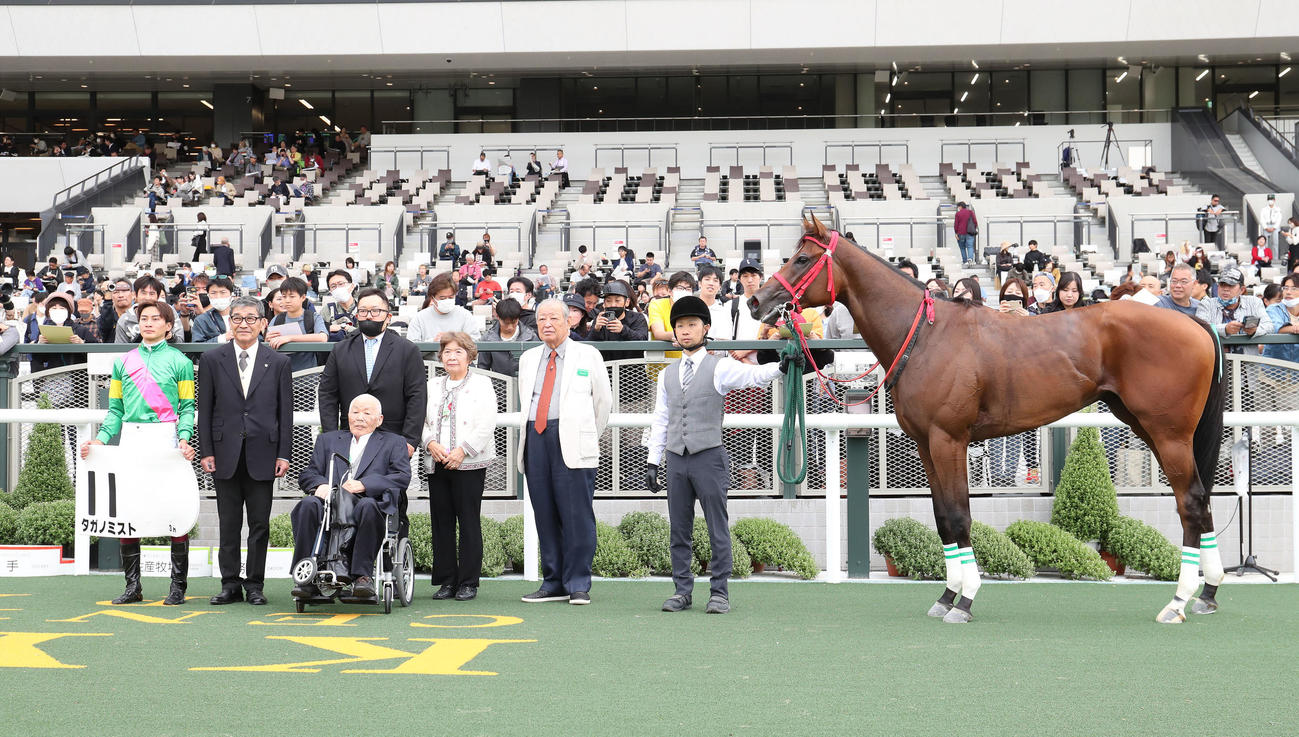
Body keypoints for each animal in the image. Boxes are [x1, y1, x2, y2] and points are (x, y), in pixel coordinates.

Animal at [750, 215, 1226, 624]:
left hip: (1169, 435)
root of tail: (1195, 325)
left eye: (803, 259)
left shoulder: (949, 440)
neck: (927, 336)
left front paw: (965, 600)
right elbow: (943, 517)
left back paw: (1179, 601)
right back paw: (1208, 593)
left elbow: (960, 516)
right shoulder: (926, 444)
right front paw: (946, 596)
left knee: (1190, 503)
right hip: (1148, 428)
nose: (757, 301)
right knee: (1200, 504)